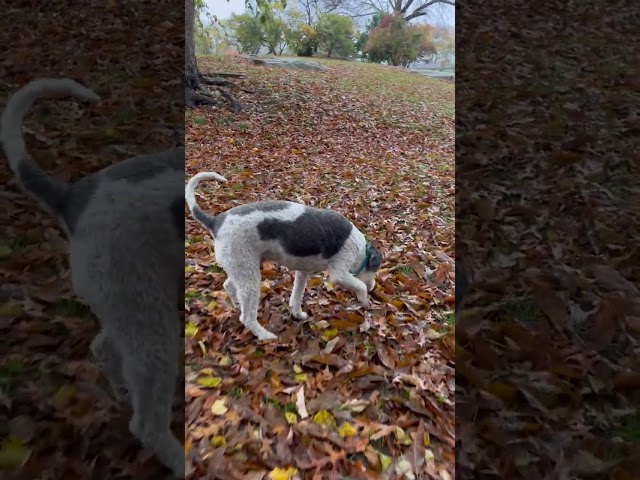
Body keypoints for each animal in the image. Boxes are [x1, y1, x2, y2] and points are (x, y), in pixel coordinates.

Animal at [0, 79, 185, 476]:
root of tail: (72, 198)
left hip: (128, 302)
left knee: (104, 349)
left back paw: (122, 393)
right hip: (147, 309)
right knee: (146, 424)